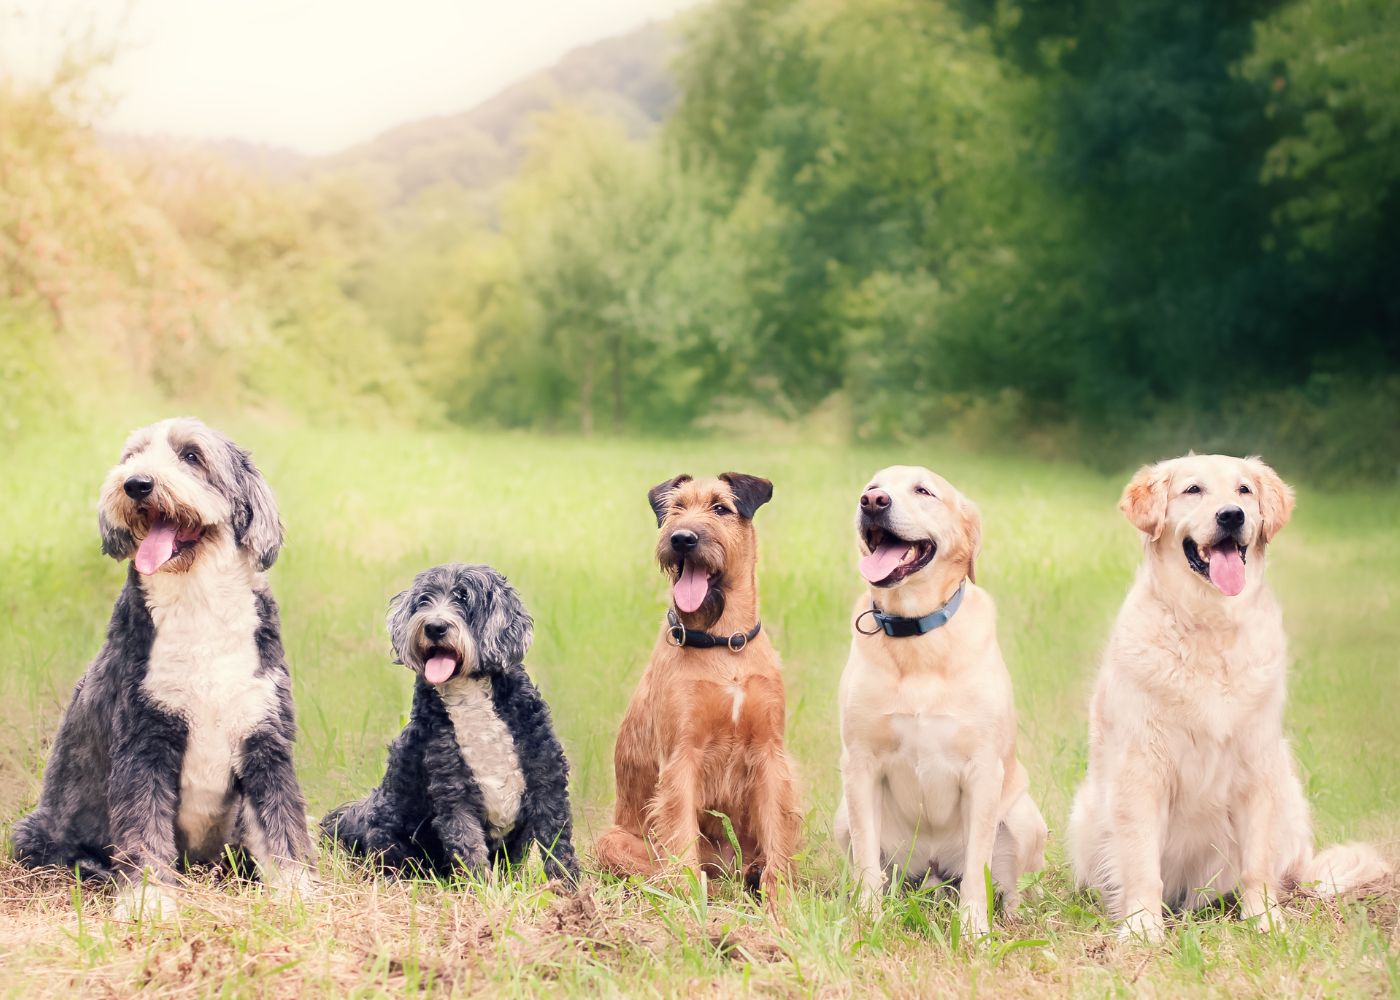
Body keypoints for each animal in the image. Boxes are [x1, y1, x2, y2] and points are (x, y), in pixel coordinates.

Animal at [13, 411, 310, 913]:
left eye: (191, 455)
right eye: (132, 456)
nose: (136, 484)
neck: (198, 602)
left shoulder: (264, 737)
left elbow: (282, 822)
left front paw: (298, 893)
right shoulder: (143, 740)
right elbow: (144, 828)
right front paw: (148, 902)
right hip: (35, 832)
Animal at [322, 560, 579, 879]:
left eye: (463, 598)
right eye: (424, 600)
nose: (434, 626)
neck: (469, 694)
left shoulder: (546, 778)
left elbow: (557, 844)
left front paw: (567, 887)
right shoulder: (453, 792)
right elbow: (469, 849)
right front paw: (482, 889)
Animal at [596, 470, 806, 890]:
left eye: (720, 508)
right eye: (676, 508)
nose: (682, 539)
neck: (723, 643)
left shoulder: (770, 754)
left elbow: (777, 840)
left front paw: (782, 900)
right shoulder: (682, 756)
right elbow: (680, 840)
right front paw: (688, 897)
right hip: (610, 840)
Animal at [834, 462, 1047, 929]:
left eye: (924, 491)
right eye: (872, 488)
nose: (872, 502)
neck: (916, 633)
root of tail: (931, 871)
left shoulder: (983, 769)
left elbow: (977, 866)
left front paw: (973, 929)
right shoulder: (859, 763)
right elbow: (866, 860)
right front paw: (868, 918)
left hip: (1024, 817)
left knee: (1013, 884)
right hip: (844, 817)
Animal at [1069, 456, 1388, 941]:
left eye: (1244, 491)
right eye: (1193, 490)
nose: (1231, 517)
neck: (1209, 623)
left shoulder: (1256, 765)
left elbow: (1257, 864)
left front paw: (1265, 920)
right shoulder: (1141, 768)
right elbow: (1141, 863)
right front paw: (1143, 927)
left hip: (1288, 795)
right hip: (1086, 811)